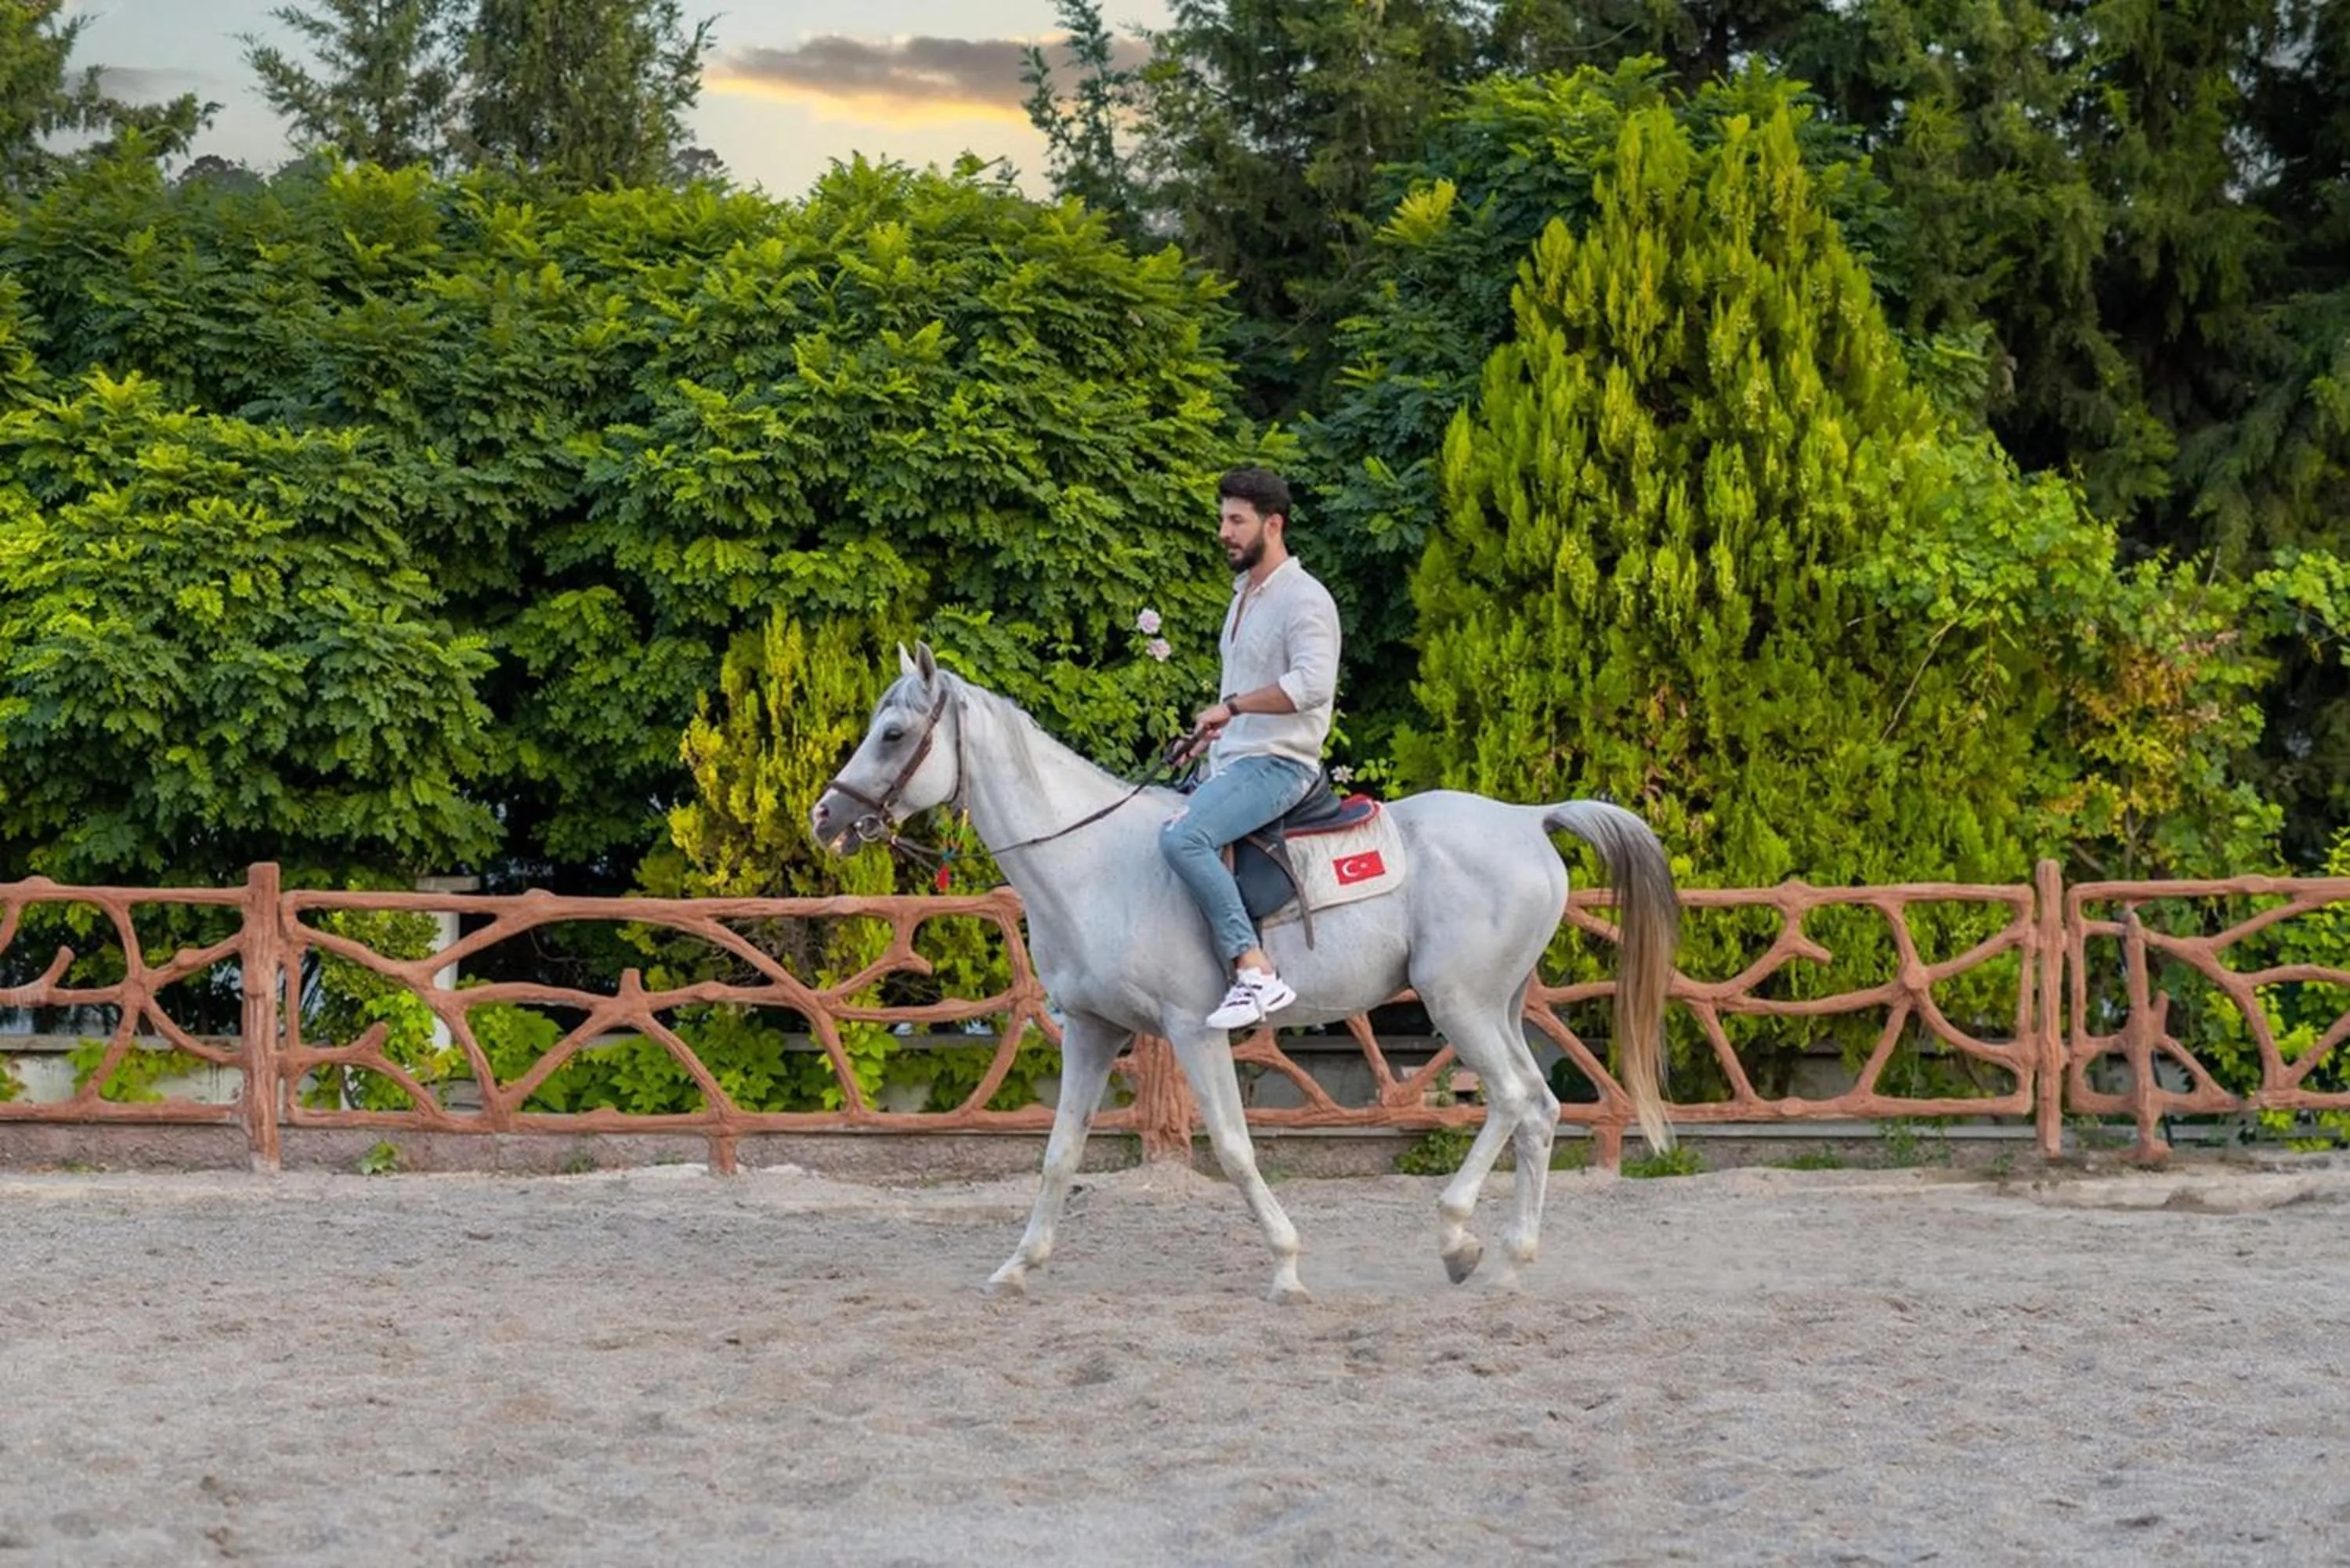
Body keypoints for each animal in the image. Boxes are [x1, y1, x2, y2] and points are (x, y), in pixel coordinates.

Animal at [812, 644, 1678, 1302]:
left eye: (894, 733)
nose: (827, 815)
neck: (1093, 862)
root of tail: (1530, 819)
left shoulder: (1193, 1030)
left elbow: (1231, 1147)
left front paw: (1287, 1269)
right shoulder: (1092, 1031)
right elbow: (1060, 1154)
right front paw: (1018, 1266)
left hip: (1457, 1003)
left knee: (1512, 1100)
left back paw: (1461, 1238)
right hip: (1498, 1005)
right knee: (1537, 1106)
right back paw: (1505, 1259)